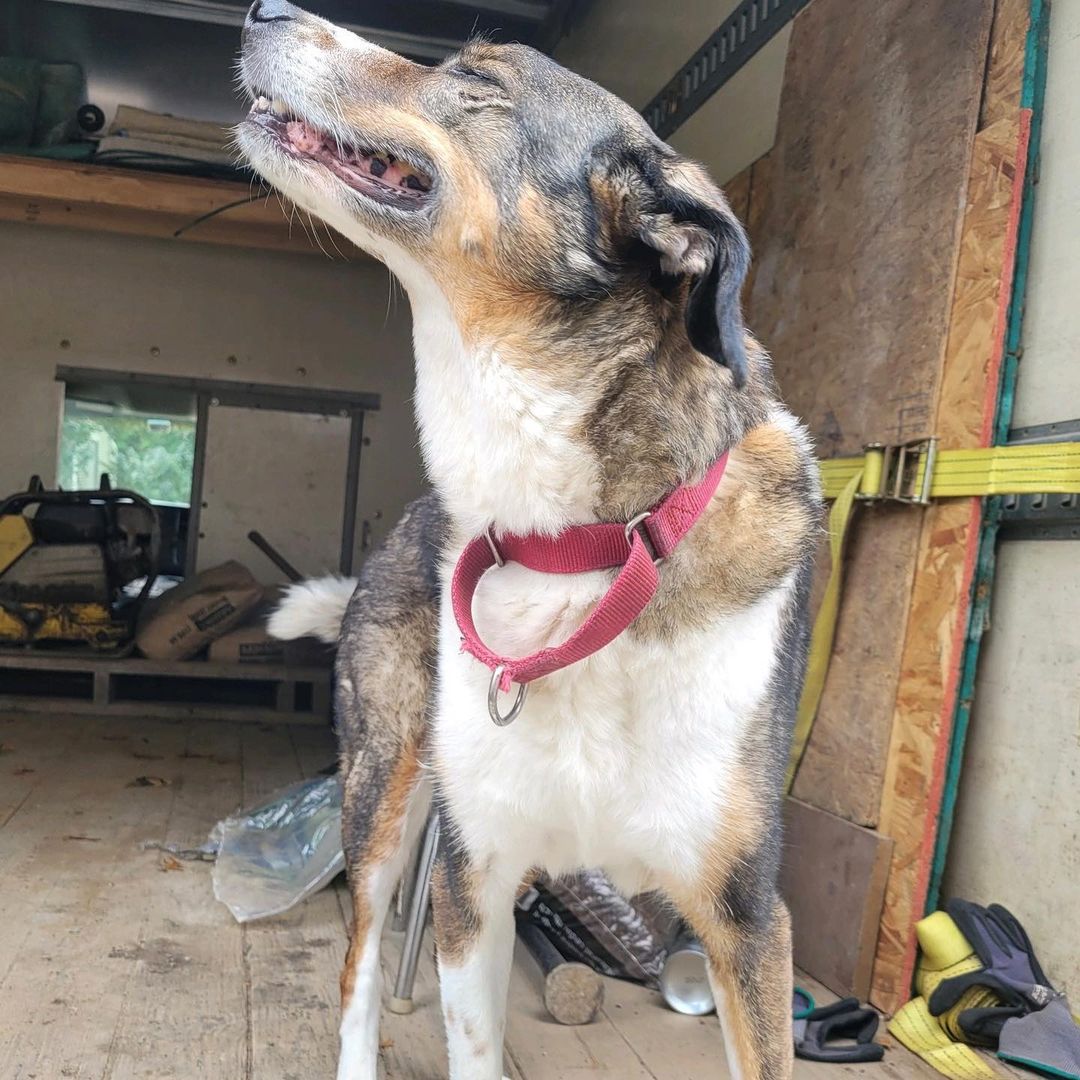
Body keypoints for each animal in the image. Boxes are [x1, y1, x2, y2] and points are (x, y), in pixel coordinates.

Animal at [243, 4, 816, 1075]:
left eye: (479, 81)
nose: (266, 10)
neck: (580, 543)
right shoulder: (475, 880)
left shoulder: (748, 920)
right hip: (385, 794)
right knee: (357, 968)